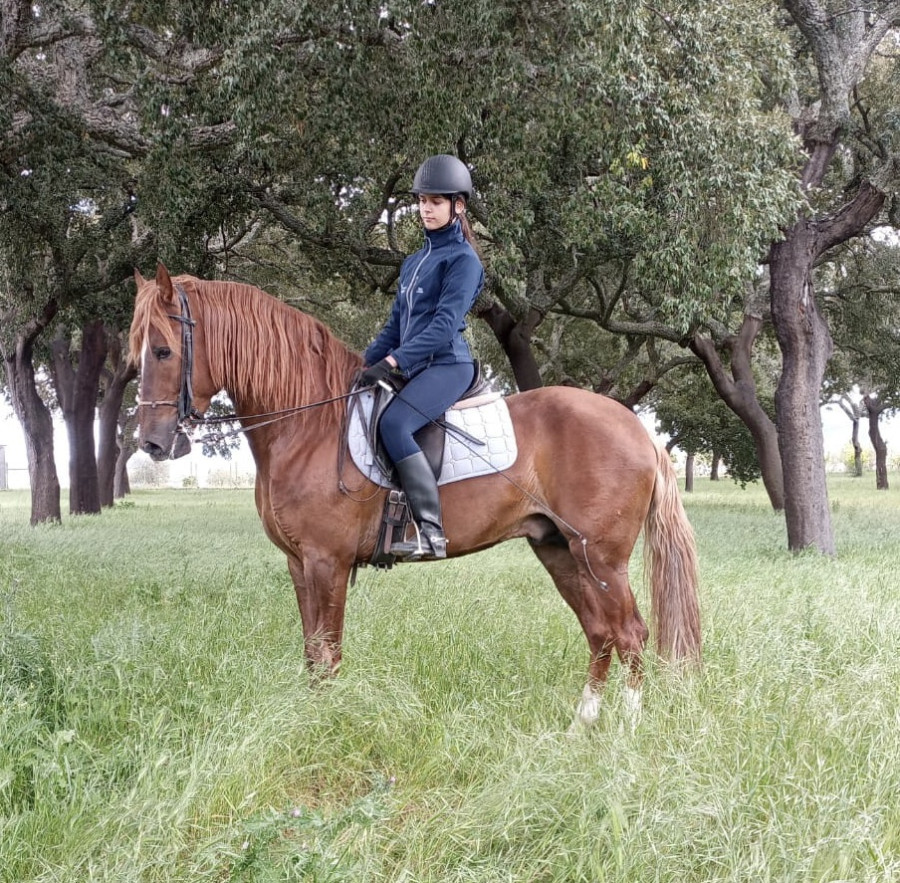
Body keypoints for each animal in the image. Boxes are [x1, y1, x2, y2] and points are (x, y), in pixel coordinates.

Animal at [129, 264, 700, 727]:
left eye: (163, 350)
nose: (152, 443)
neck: (310, 423)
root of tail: (636, 428)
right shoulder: (299, 563)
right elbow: (313, 653)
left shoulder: (326, 562)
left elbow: (328, 653)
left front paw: (325, 726)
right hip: (559, 550)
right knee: (601, 632)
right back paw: (582, 725)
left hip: (601, 559)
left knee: (630, 633)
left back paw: (625, 733)